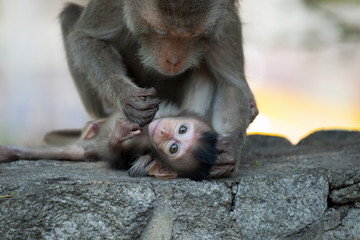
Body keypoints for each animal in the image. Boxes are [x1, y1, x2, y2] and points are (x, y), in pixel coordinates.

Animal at [60, 0, 258, 172]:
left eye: (194, 35)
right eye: (160, 31)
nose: (173, 60)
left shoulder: (226, 14)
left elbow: (230, 83)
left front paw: (228, 150)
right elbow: (86, 38)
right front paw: (126, 95)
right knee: (69, 13)